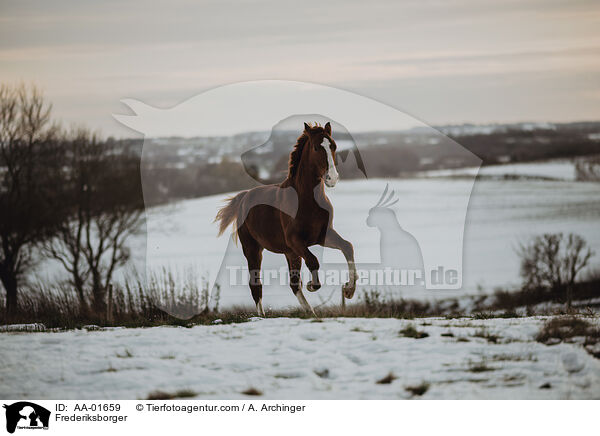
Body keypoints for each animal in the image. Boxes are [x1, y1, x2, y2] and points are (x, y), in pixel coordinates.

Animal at [216, 122, 356, 316]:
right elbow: (313, 261)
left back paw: (311, 313)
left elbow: (347, 247)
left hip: (289, 253)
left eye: (333, 146)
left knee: (294, 284)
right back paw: (263, 316)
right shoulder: (295, 241)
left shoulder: (322, 236)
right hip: (253, 249)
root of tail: (244, 197)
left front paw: (349, 290)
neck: (307, 200)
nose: (332, 178)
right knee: (256, 285)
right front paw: (313, 285)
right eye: (315, 147)